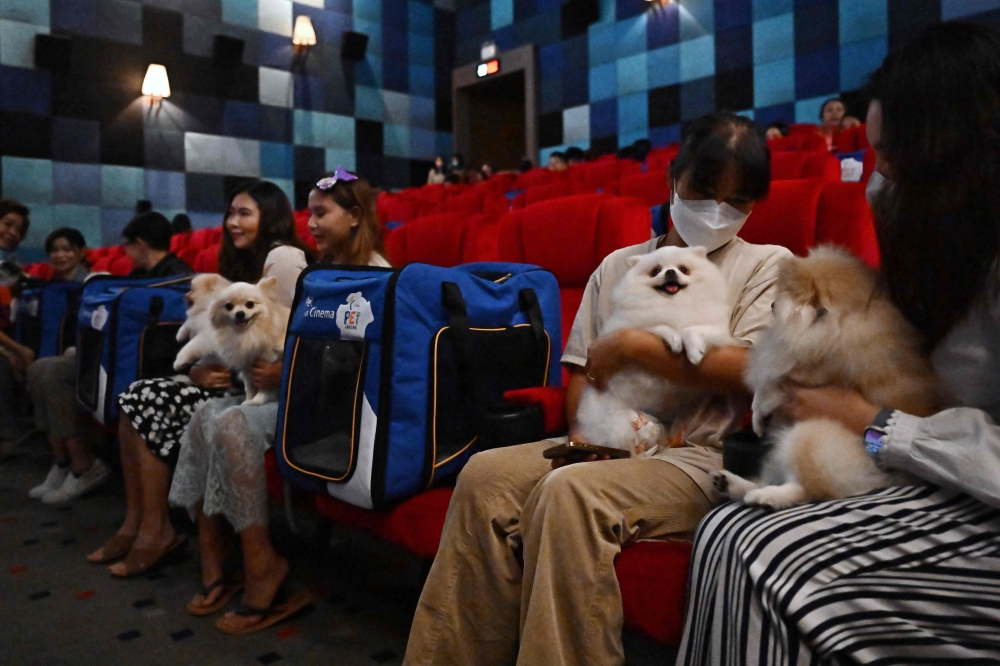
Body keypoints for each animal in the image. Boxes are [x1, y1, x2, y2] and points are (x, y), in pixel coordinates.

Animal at [211, 274, 290, 404]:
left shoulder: (266, 365)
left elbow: (265, 386)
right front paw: (248, 399)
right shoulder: (246, 366)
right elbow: (249, 386)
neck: (248, 334)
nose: (240, 314)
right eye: (229, 306)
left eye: (250, 304)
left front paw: (257, 401)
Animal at [576, 245, 732, 456]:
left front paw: (694, 353)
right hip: (618, 421)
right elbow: (660, 326)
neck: (674, 303)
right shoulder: (638, 324)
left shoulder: (716, 330)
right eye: (656, 271)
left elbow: (691, 330)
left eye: (683, 269)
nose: (670, 272)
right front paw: (675, 340)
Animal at [712, 245, 936, 508]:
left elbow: (770, 389)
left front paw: (757, 416)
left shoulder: (804, 378)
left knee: (806, 488)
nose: (772, 305)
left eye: (788, 296)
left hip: (807, 436)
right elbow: (762, 388)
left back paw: (765, 496)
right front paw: (758, 420)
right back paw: (729, 482)